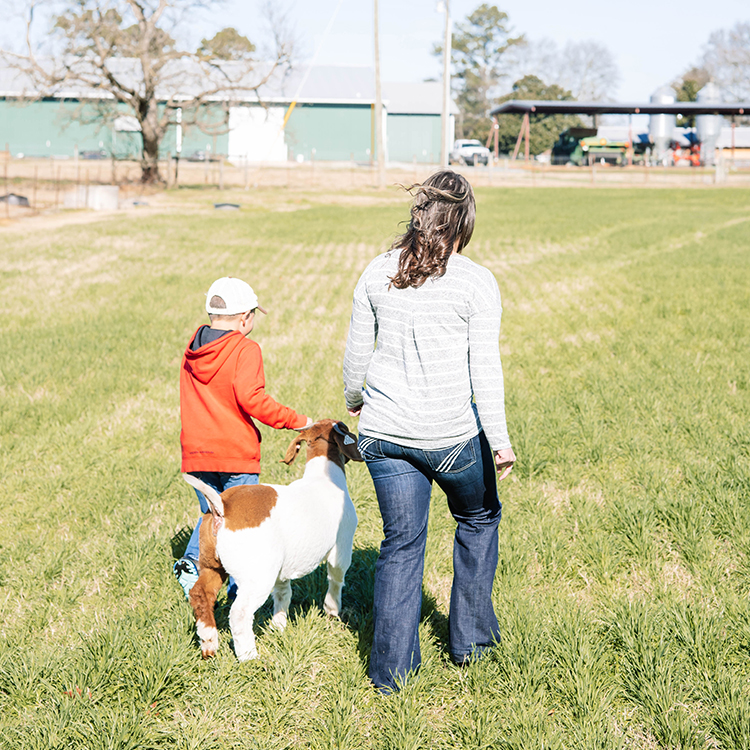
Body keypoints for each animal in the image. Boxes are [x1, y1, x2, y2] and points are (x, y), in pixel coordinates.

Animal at [179, 420, 362, 660]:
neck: (322, 477)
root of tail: (222, 507)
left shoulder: (282, 567)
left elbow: (283, 593)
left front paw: (278, 627)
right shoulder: (341, 551)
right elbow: (336, 581)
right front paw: (332, 612)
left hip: (213, 565)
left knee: (201, 594)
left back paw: (209, 644)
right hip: (257, 576)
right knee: (239, 613)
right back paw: (249, 657)